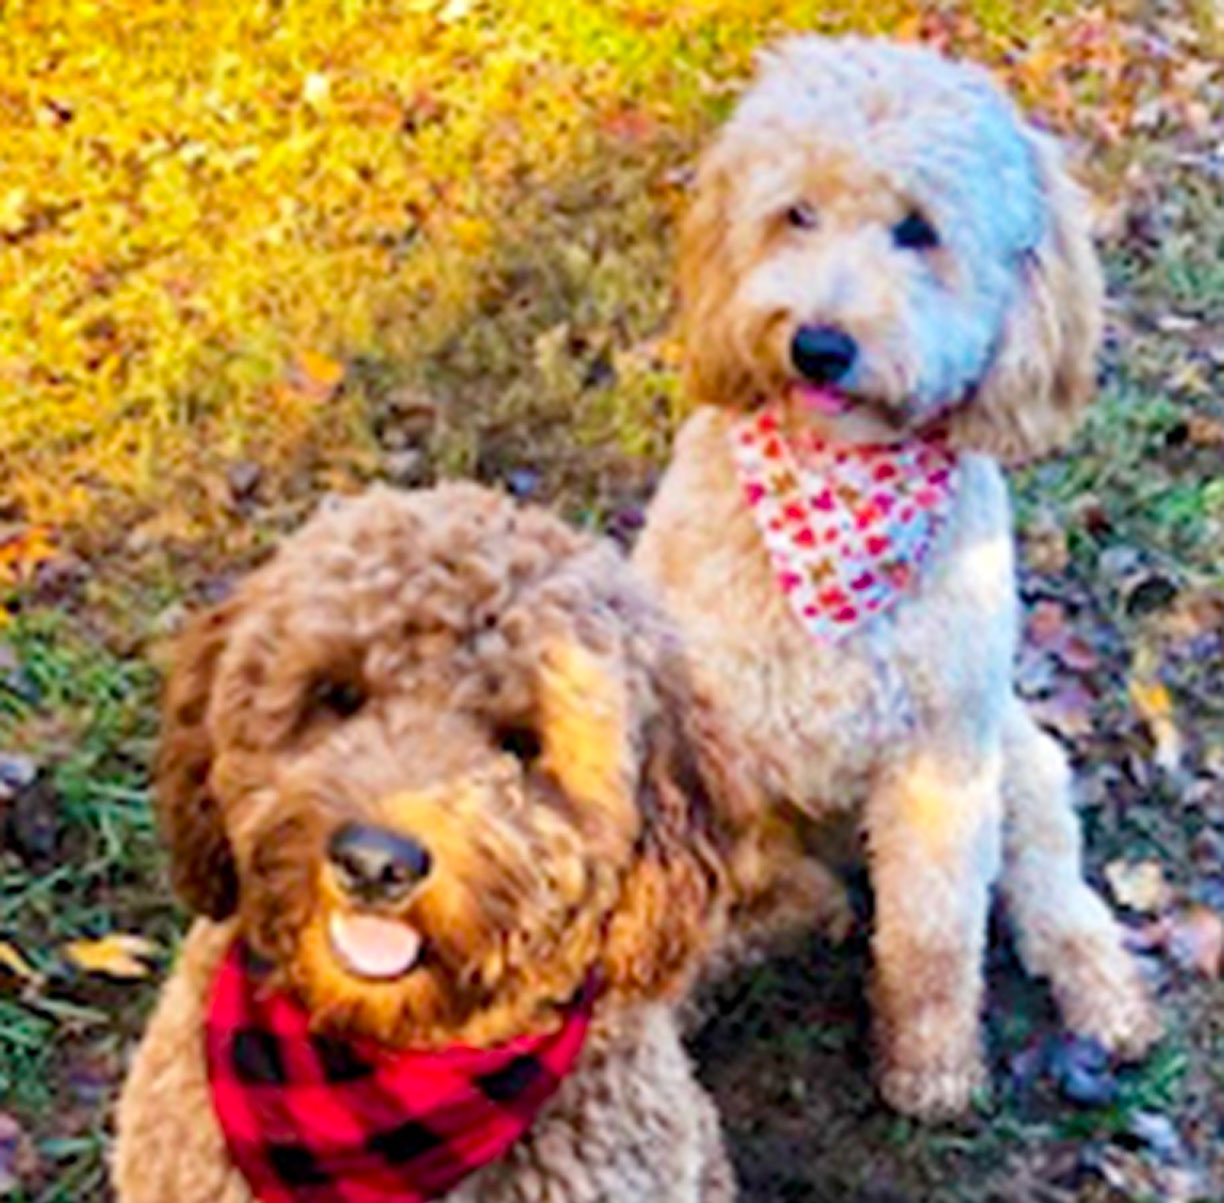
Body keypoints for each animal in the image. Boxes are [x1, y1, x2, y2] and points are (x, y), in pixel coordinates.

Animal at [636, 40, 1160, 1130]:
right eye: (794, 213)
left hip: (1021, 756)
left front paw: (930, 1067)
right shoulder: (706, 744)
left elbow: (933, 936)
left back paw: (1106, 993)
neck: (835, 494)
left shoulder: (941, 762)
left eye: (919, 229)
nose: (818, 343)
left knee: (1054, 892)